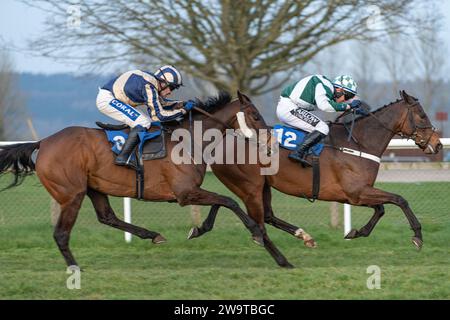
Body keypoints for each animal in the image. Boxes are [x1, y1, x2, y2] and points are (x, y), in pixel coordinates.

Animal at [0, 90, 266, 268]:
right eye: (255, 115)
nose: (267, 138)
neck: (188, 139)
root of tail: (43, 142)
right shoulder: (184, 192)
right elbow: (229, 201)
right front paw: (255, 232)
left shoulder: (191, 191)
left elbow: (221, 202)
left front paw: (199, 229)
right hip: (71, 194)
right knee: (61, 234)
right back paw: (75, 269)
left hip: (93, 187)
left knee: (107, 217)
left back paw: (153, 235)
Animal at [190, 90, 442, 268]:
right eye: (421, 114)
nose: (438, 144)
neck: (358, 143)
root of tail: (218, 144)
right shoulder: (356, 192)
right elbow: (399, 200)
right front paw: (418, 236)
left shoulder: (356, 194)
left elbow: (381, 209)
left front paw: (356, 232)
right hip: (250, 187)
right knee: (258, 223)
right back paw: (283, 259)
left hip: (262, 186)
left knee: (257, 213)